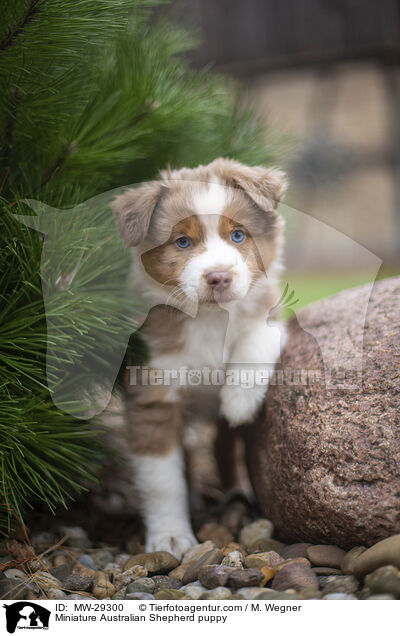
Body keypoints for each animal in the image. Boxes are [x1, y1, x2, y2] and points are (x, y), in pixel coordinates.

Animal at [111, 160, 288, 560]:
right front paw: (170, 537)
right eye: (182, 242)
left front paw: (239, 399)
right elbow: (163, 480)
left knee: (225, 445)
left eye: (238, 235)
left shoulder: (275, 319)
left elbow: (256, 337)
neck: (210, 318)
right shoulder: (153, 392)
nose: (218, 276)